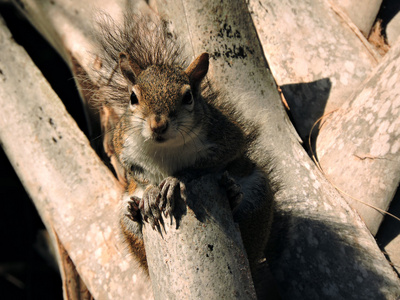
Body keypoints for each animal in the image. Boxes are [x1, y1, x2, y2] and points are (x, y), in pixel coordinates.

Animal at [92, 12, 276, 282]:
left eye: (188, 97)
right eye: (133, 98)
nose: (158, 125)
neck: (165, 148)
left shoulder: (225, 137)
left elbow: (208, 164)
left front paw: (175, 181)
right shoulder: (122, 144)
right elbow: (139, 175)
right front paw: (150, 192)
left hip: (258, 200)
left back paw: (233, 194)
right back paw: (134, 210)